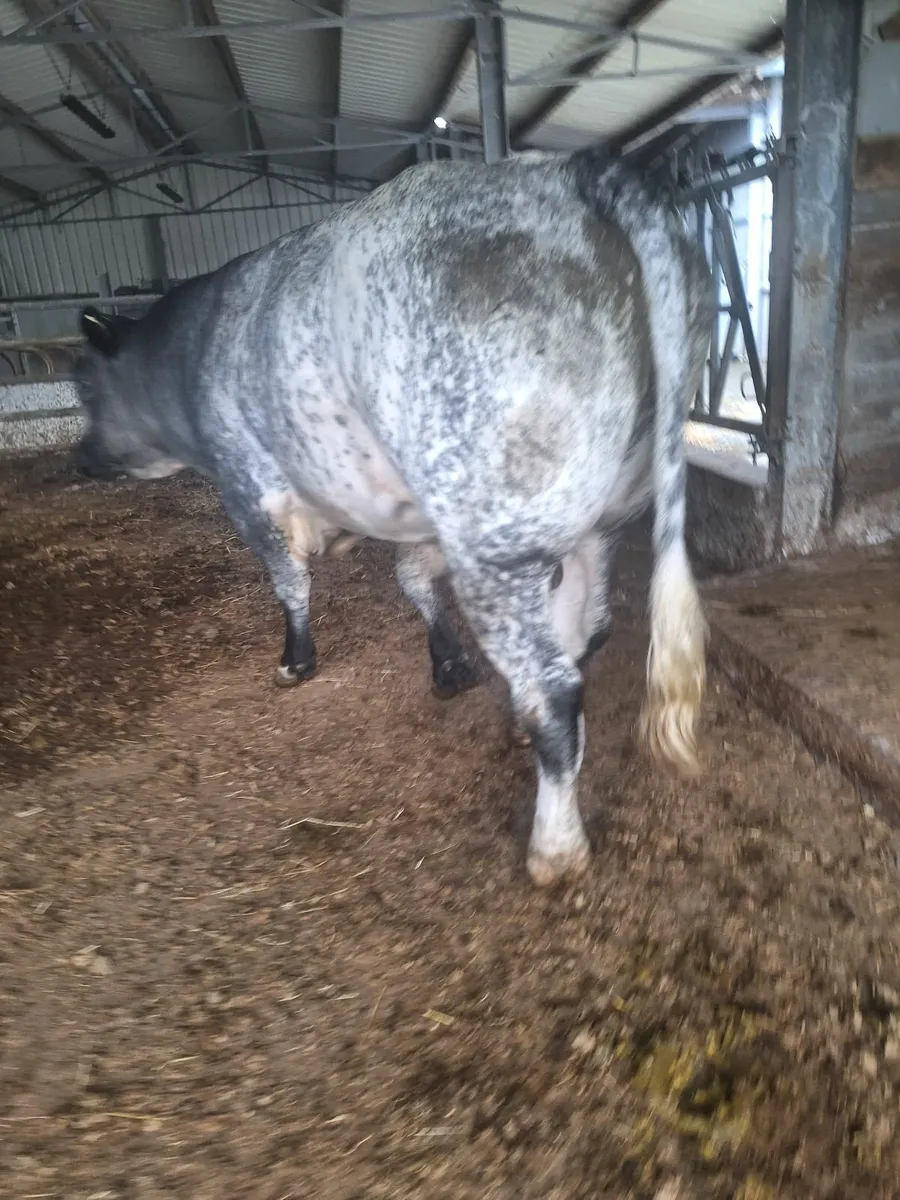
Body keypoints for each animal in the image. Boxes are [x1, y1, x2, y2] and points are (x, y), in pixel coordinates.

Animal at [72, 146, 714, 888]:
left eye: (84, 385)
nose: (79, 458)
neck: (190, 353)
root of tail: (571, 170)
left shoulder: (250, 483)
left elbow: (289, 581)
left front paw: (295, 660)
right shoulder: (422, 514)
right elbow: (411, 579)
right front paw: (449, 666)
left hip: (493, 538)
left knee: (553, 688)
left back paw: (554, 847)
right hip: (591, 516)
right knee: (586, 634)